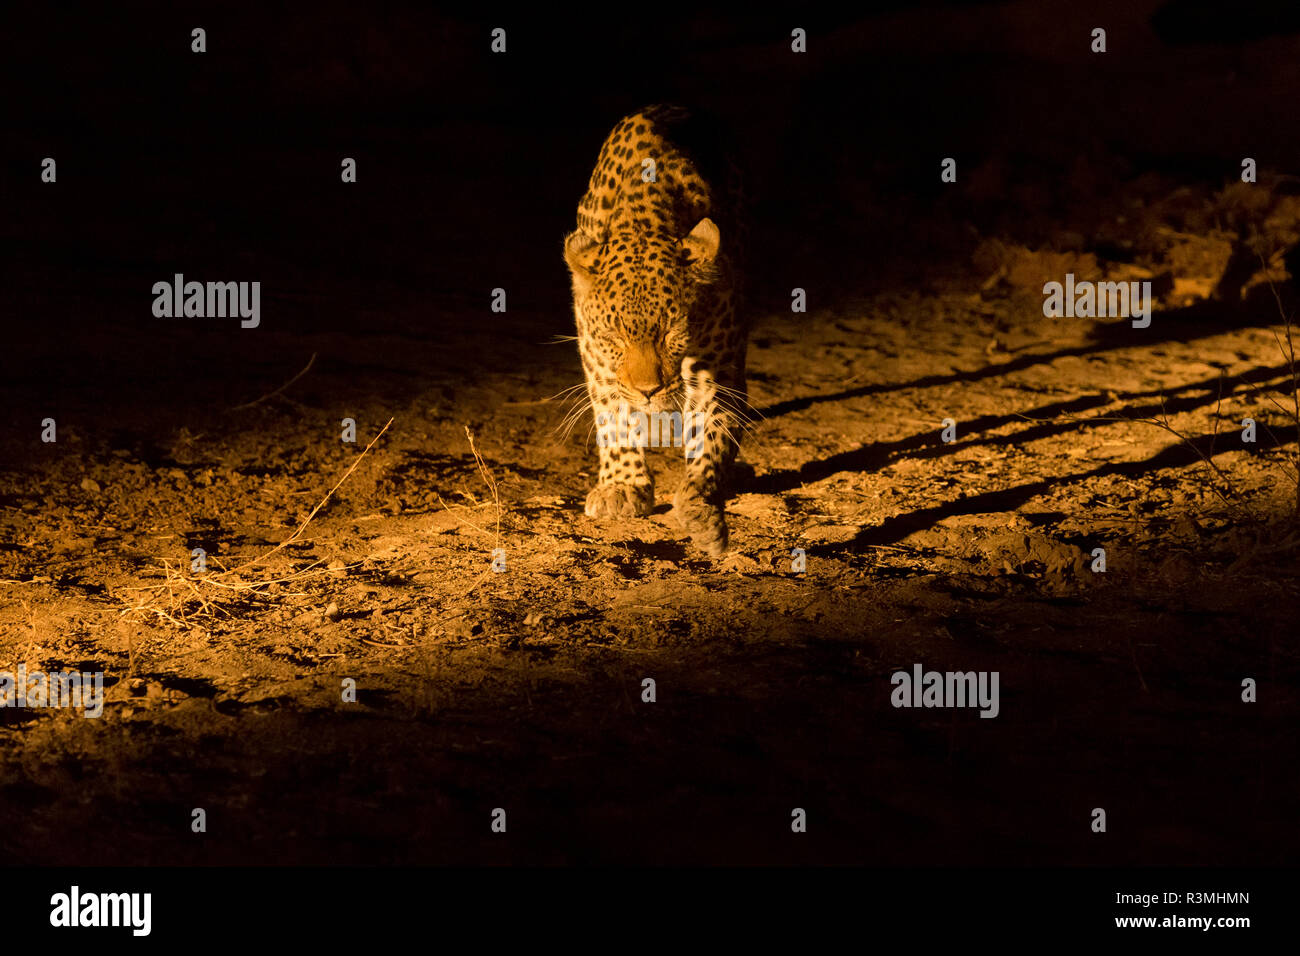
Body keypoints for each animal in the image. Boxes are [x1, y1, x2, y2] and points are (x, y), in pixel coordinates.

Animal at [562, 104, 750, 557]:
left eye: (670, 333)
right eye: (615, 337)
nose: (648, 390)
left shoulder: (717, 364)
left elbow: (712, 431)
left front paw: (701, 508)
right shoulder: (595, 354)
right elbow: (611, 410)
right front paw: (621, 487)